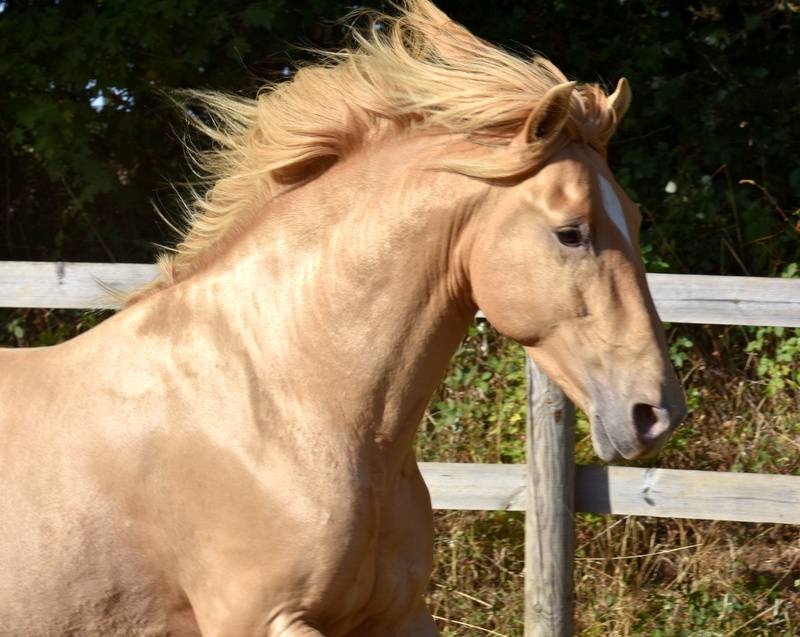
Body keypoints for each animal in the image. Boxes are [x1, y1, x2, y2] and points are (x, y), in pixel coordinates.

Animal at [0, 1, 686, 635]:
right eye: (571, 232)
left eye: (636, 217)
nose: (655, 414)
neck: (283, 406)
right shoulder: (259, 619)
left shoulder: (397, 613)